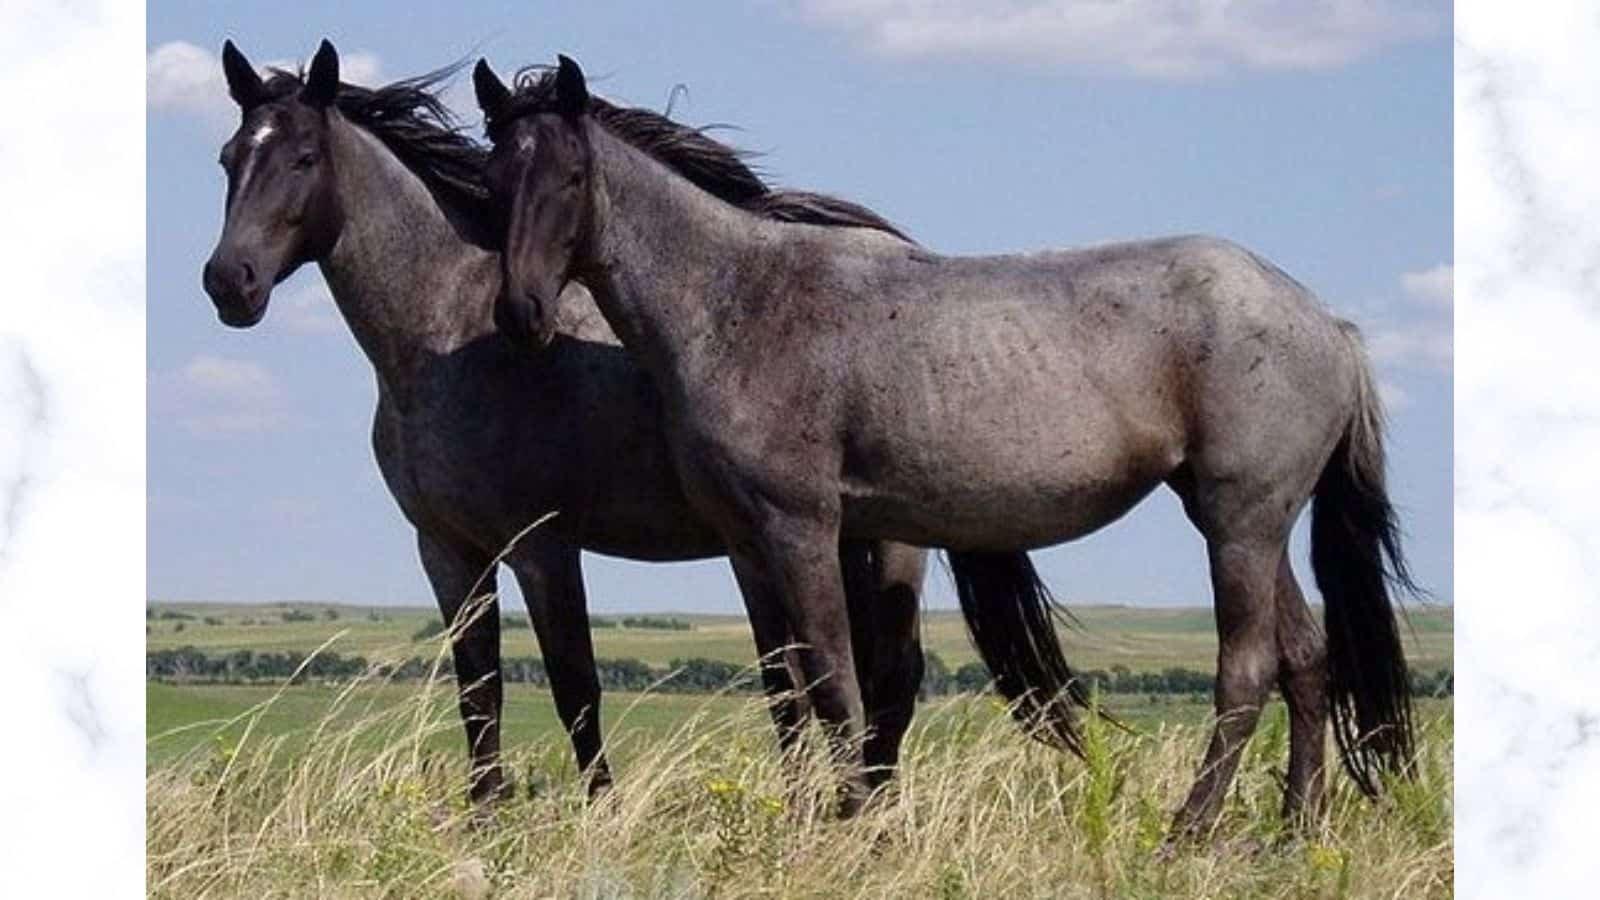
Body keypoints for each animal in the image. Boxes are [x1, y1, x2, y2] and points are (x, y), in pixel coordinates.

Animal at [199, 39, 934, 808]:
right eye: (228, 157)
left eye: (305, 157)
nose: (229, 281)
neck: (446, 337)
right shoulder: (448, 551)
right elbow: (479, 693)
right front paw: (484, 815)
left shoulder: (542, 546)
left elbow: (575, 686)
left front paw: (599, 811)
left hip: (887, 544)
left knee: (888, 681)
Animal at [473, 55, 1418, 835]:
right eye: (492, 179)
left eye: (572, 175)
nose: (520, 314)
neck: (739, 302)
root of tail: (1326, 323)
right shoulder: (745, 543)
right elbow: (785, 686)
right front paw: (802, 817)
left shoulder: (804, 529)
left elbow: (835, 680)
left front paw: (851, 823)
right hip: (1251, 524)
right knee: (1306, 661)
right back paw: (1296, 828)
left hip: (1238, 525)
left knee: (1246, 669)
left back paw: (1190, 828)